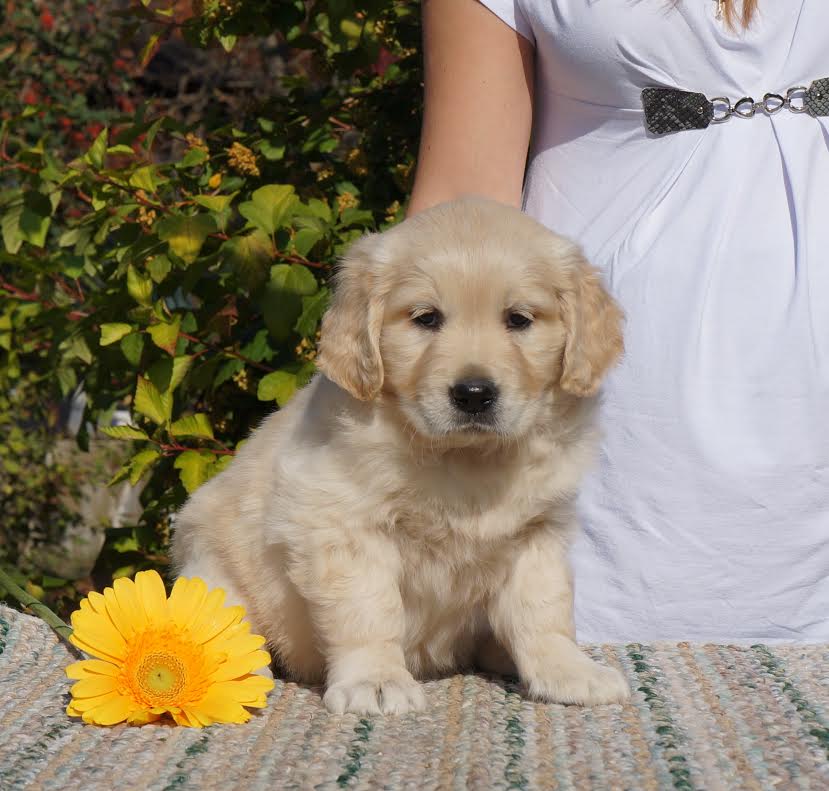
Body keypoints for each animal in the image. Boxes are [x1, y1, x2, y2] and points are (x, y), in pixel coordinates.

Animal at [173, 195, 628, 716]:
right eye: (426, 318)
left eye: (518, 319)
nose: (474, 394)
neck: (466, 459)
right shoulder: (342, 526)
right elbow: (369, 610)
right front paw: (376, 679)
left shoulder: (538, 532)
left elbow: (544, 609)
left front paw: (569, 671)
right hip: (208, 566)